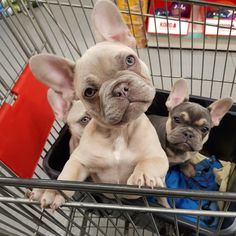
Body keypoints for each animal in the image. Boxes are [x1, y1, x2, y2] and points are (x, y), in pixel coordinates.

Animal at [27, 0, 169, 210]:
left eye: (130, 60)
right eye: (89, 92)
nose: (120, 89)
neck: (118, 133)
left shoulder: (157, 155)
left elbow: (148, 162)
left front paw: (142, 175)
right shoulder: (79, 160)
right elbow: (68, 175)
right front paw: (53, 190)